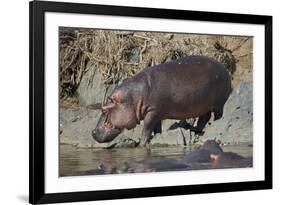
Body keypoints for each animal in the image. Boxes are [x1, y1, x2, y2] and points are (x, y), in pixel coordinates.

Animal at [91, 55, 231, 146]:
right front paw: (157, 136)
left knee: (217, 115)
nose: (93, 132)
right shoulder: (157, 113)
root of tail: (225, 68)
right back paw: (194, 130)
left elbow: (147, 127)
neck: (133, 97)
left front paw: (141, 144)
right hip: (204, 105)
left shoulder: (153, 111)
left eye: (103, 110)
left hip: (219, 103)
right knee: (204, 117)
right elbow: (156, 127)